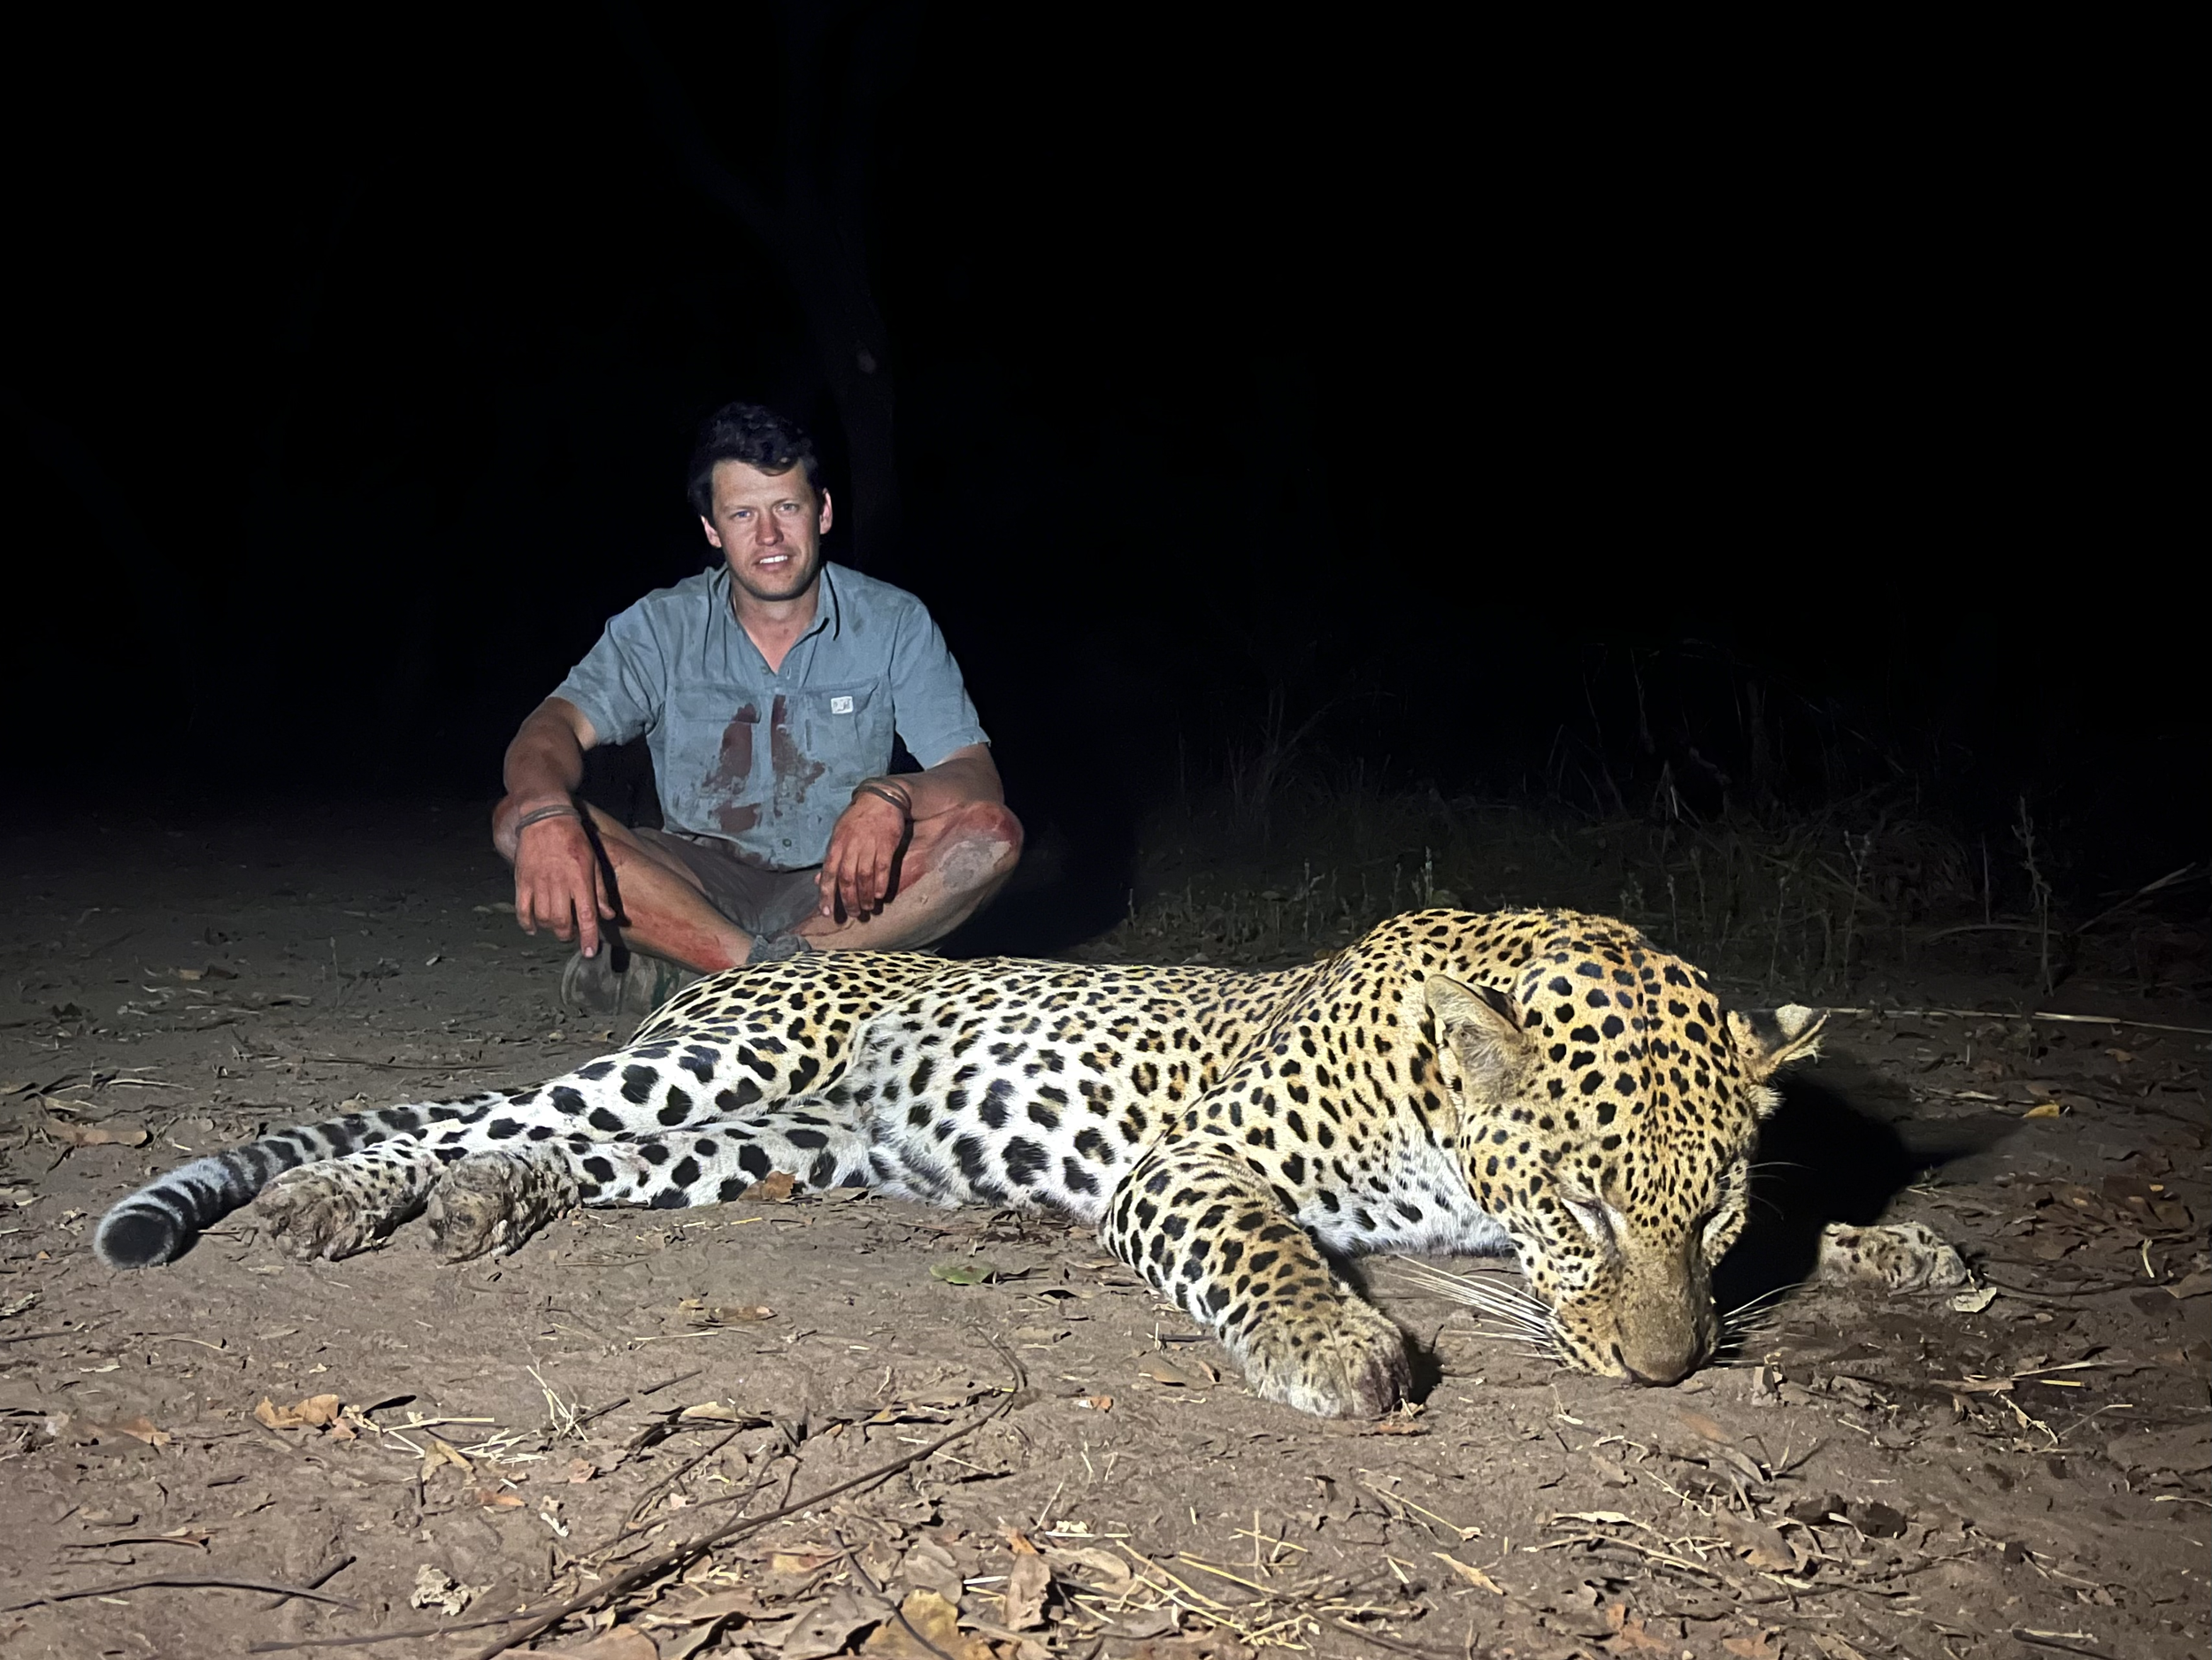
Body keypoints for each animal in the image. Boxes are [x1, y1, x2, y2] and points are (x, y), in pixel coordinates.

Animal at [93, 909, 1964, 1417]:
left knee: (580, 1162)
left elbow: (1808, 1221)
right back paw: (339, 1196)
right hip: (708, 1058)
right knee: (461, 1117)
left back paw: (486, 1208)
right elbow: (1266, 1251)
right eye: (1577, 1202)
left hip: (764, 1143)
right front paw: (1343, 1349)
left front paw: (1906, 1252)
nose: (1668, 1376)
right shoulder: (1199, 1168)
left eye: (1709, 1214)